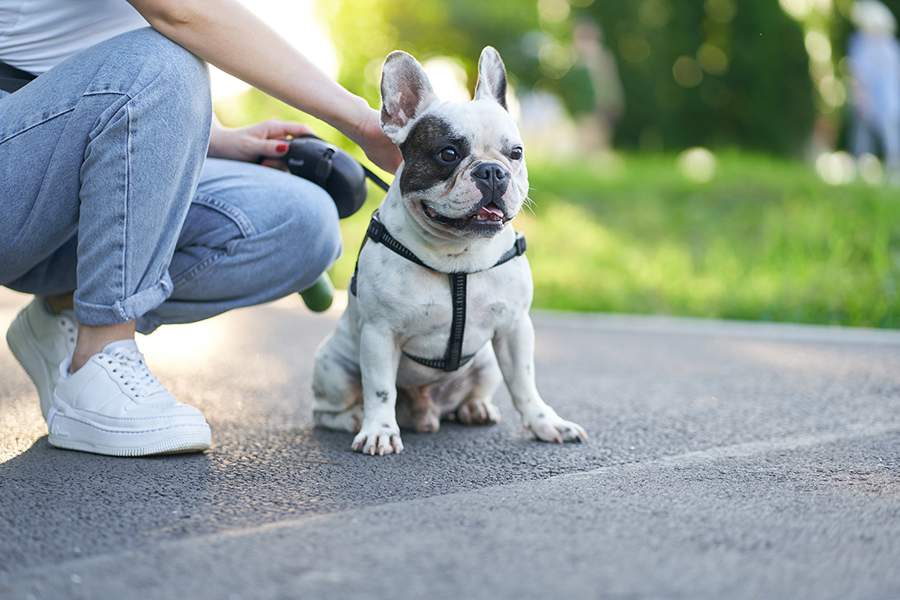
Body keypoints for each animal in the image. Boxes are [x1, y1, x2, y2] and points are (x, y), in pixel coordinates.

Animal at [312, 45, 588, 454]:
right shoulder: (379, 334)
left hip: (486, 363)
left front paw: (545, 423)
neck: (459, 256)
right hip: (332, 365)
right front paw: (379, 431)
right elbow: (379, 389)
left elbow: (525, 384)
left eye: (515, 153)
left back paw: (475, 408)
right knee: (328, 409)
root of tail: (424, 411)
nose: (491, 171)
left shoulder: (515, 328)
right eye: (447, 153)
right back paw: (353, 419)